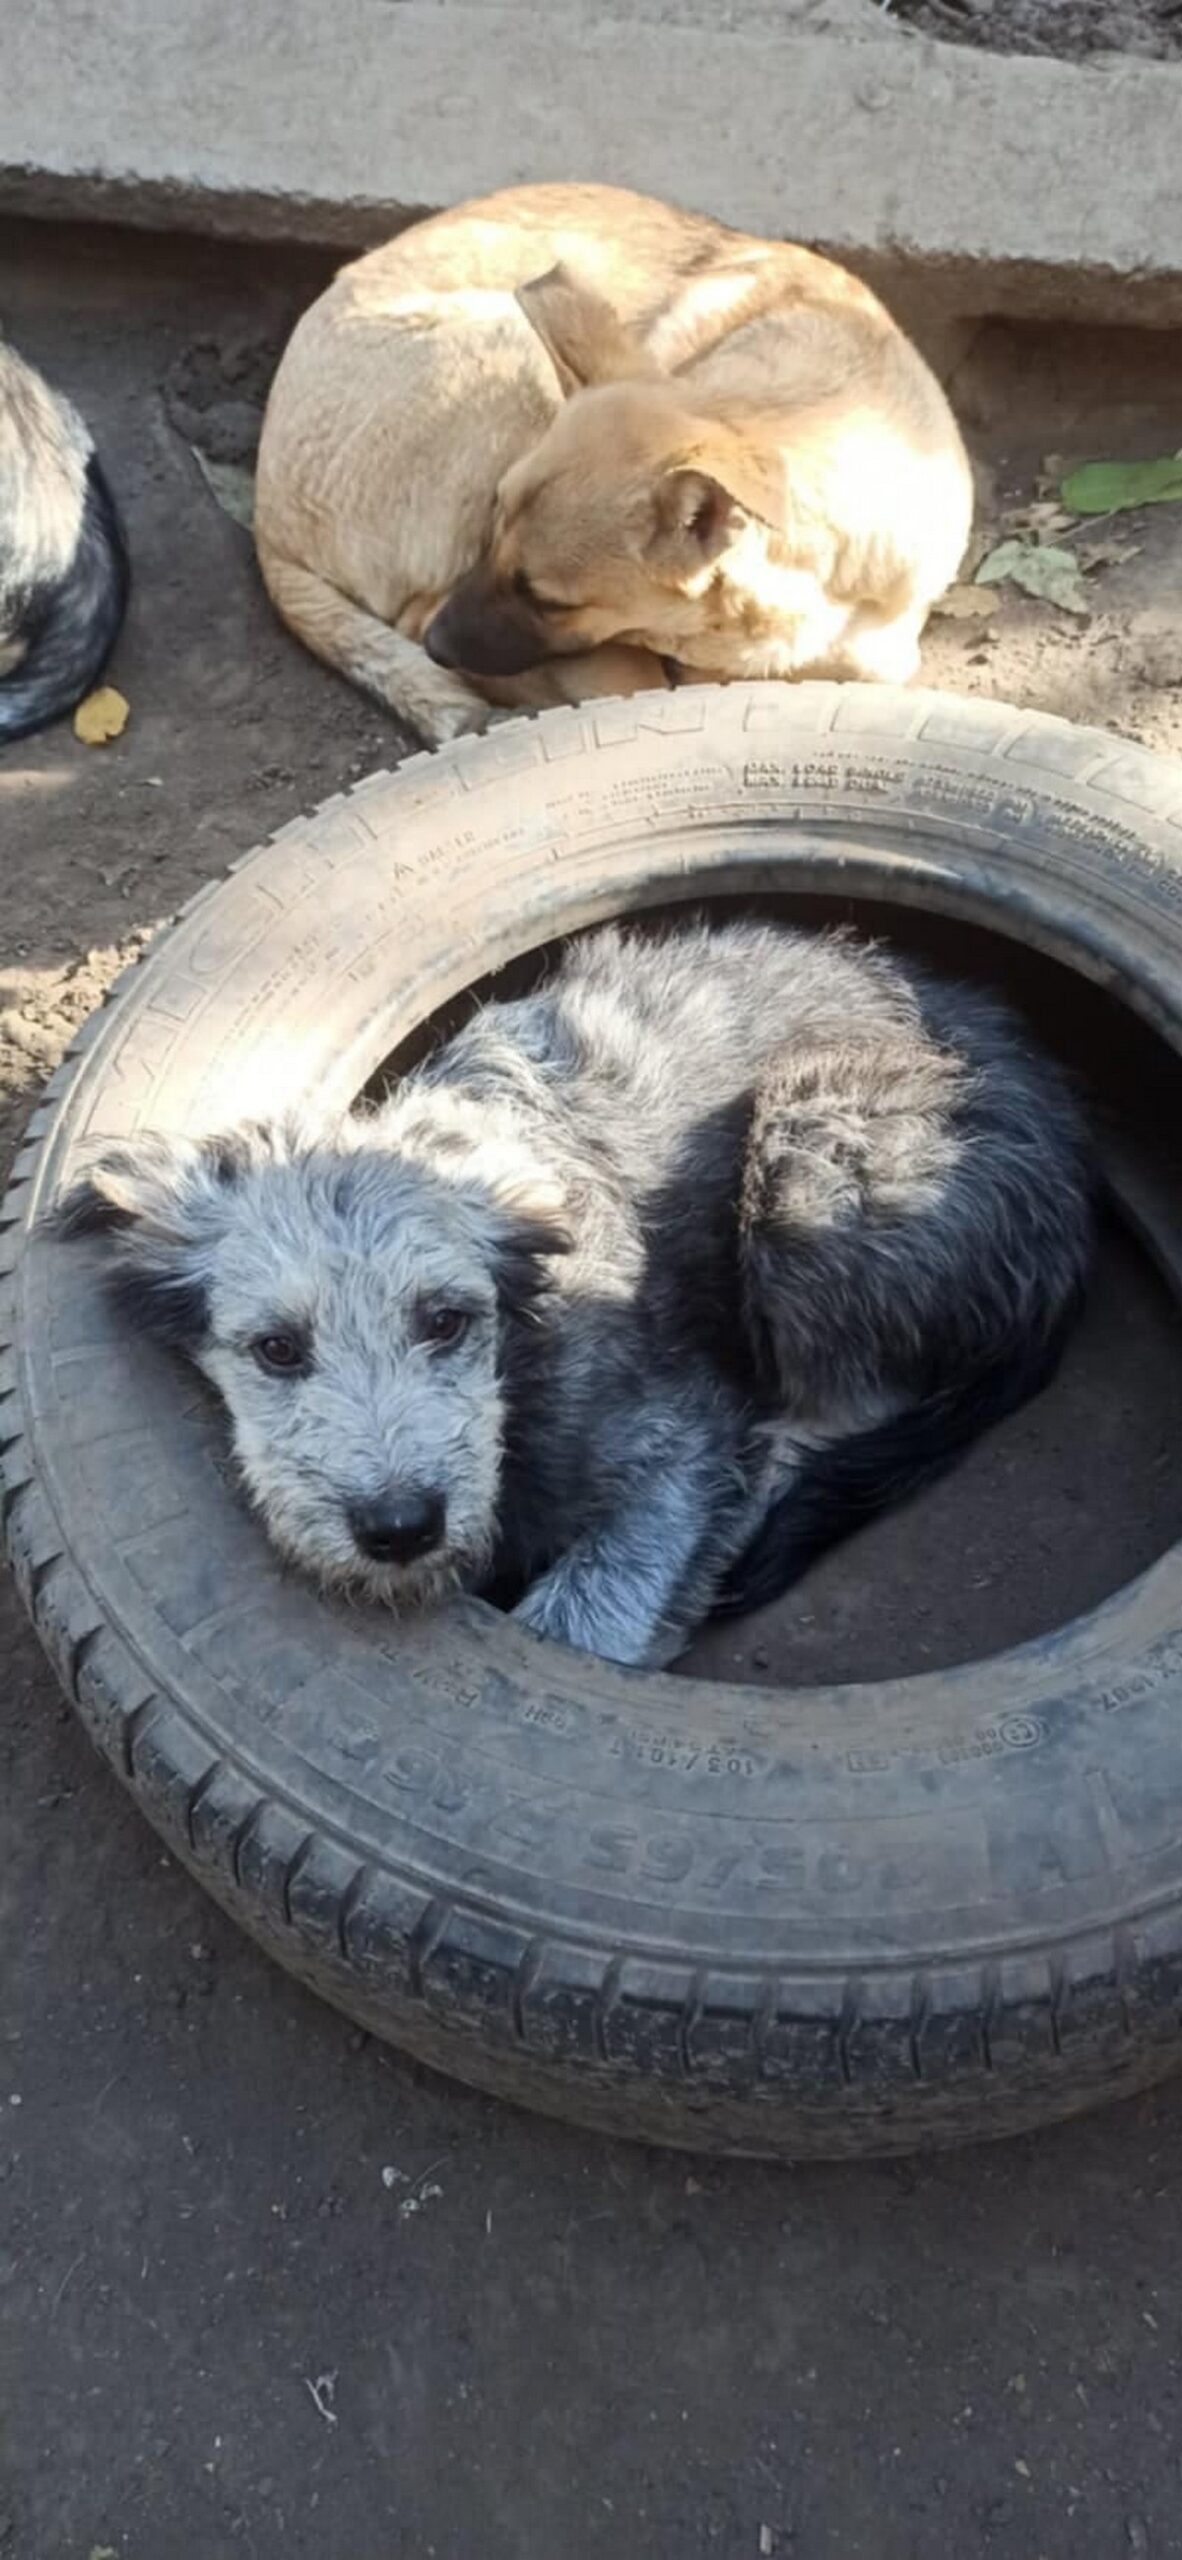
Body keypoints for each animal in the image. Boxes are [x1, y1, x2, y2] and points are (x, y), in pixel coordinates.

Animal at [64, 931, 1095, 1669]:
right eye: (276, 1348)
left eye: (446, 1320)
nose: (400, 1530)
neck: (521, 1365)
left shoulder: (678, 1442)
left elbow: (582, 1610)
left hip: (813, 1146)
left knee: (845, 1403)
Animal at [255, 184, 967, 747]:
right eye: (490, 532)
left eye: (547, 599)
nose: (439, 649)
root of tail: (266, 521)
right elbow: (637, 682)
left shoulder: (878, 654)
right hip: (508, 355)